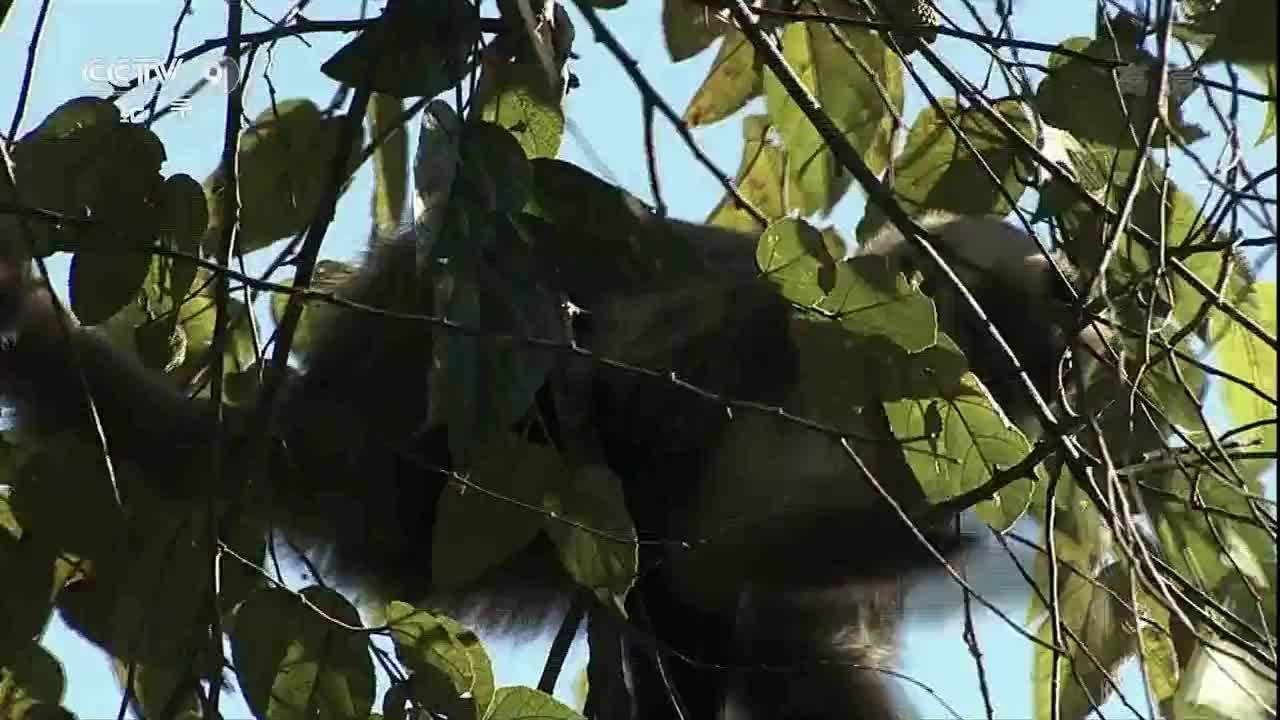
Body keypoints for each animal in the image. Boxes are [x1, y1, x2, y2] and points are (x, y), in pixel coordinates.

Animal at [0, 197, 1105, 717]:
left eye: (1051, 354)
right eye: (1028, 308)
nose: (1075, 325)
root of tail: (310, 417)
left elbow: (766, 621)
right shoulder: (775, 323)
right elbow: (672, 496)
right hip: (430, 411)